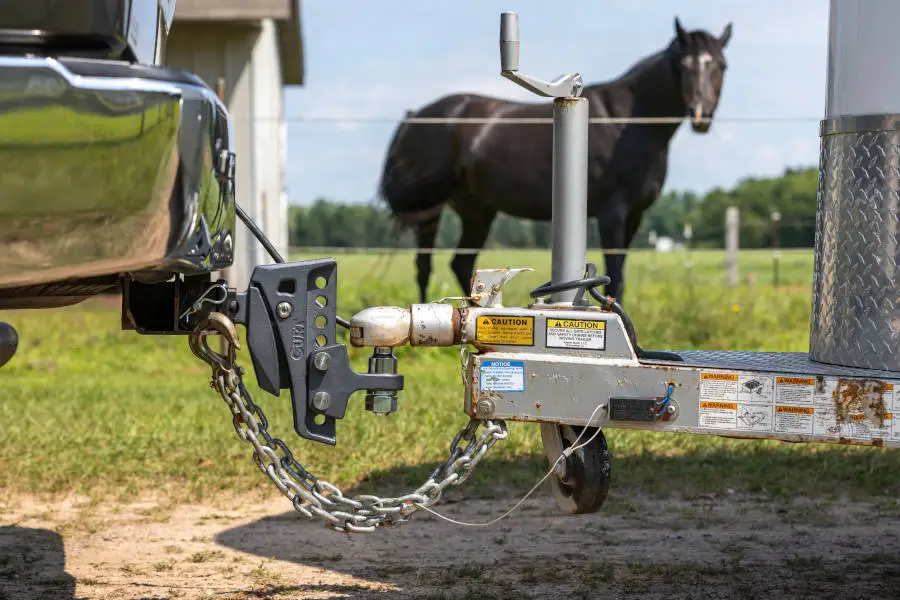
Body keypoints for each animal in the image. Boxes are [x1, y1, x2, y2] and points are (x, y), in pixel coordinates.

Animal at [378, 18, 732, 304]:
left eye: (721, 65)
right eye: (684, 65)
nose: (701, 116)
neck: (625, 122)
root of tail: (415, 116)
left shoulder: (635, 215)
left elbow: (620, 277)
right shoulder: (612, 212)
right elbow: (615, 276)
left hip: (477, 210)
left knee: (460, 263)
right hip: (431, 209)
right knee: (425, 266)